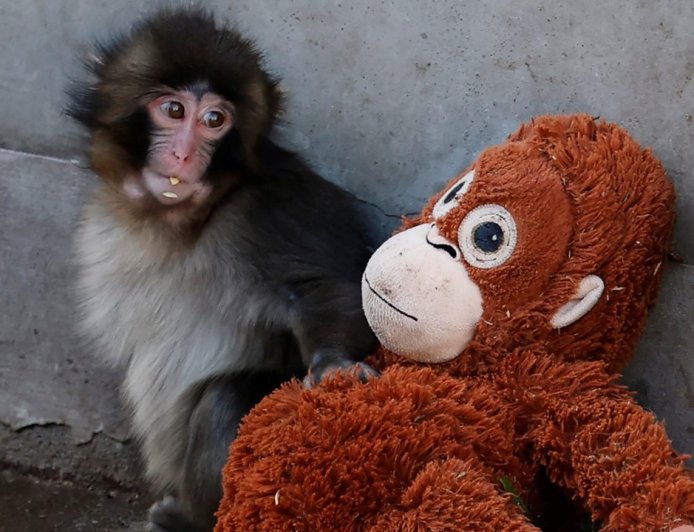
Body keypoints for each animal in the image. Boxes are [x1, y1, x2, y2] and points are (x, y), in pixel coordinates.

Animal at [67, 8, 378, 531]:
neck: (182, 221)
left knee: (227, 399)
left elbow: (322, 287)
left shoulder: (269, 210)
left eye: (214, 120)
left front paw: (334, 366)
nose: (184, 155)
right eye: (174, 111)